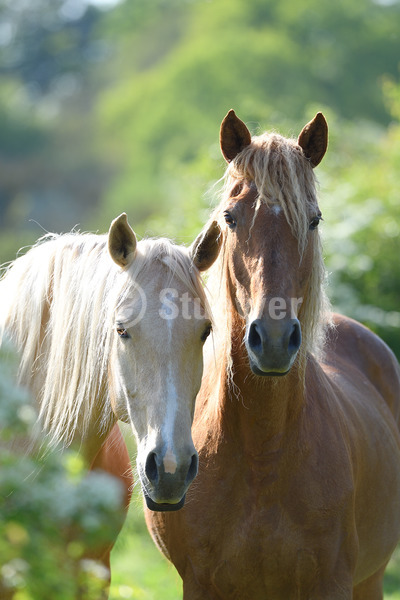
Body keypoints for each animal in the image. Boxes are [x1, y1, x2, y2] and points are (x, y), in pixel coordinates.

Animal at [145, 111, 400, 596]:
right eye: (231, 217)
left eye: (314, 220)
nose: (276, 338)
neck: (262, 457)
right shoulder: (200, 584)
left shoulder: (332, 582)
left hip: (371, 579)